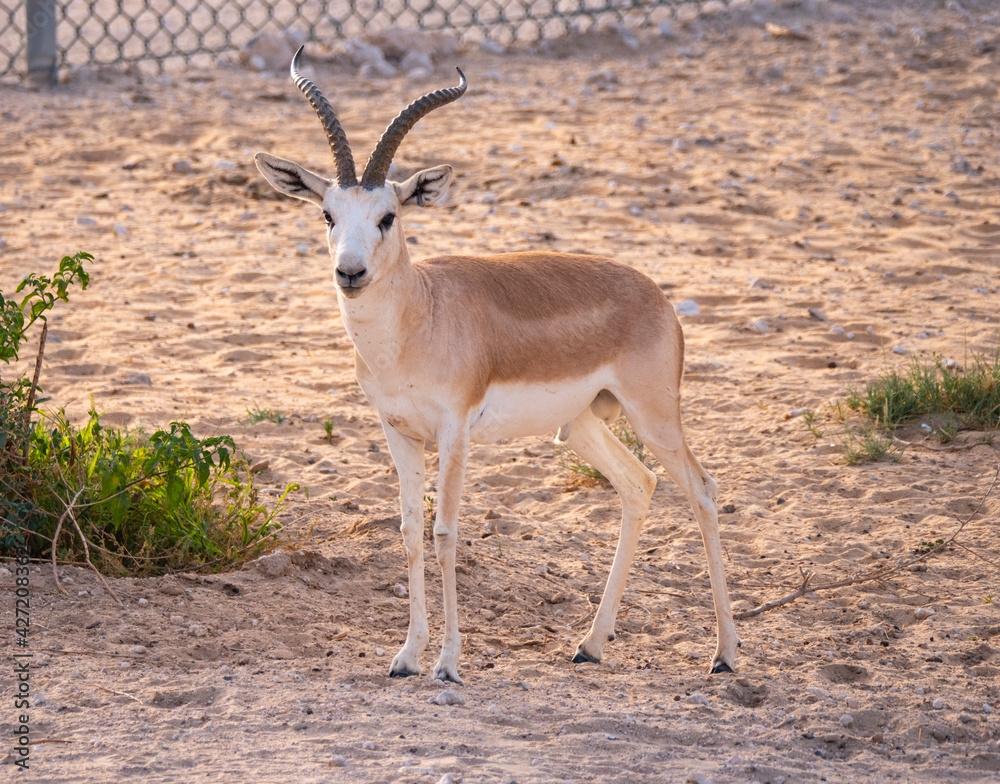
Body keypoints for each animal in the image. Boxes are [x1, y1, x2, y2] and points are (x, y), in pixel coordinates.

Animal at [254, 48, 738, 683]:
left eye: (388, 216)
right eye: (328, 215)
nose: (350, 273)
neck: (419, 320)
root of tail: (657, 297)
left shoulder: (455, 432)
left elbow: (445, 534)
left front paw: (448, 663)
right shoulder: (398, 431)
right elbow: (409, 533)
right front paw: (407, 655)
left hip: (654, 416)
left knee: (702, 489)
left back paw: (725, 654)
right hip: (581, 425)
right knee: (639, 485)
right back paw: (591, 644)